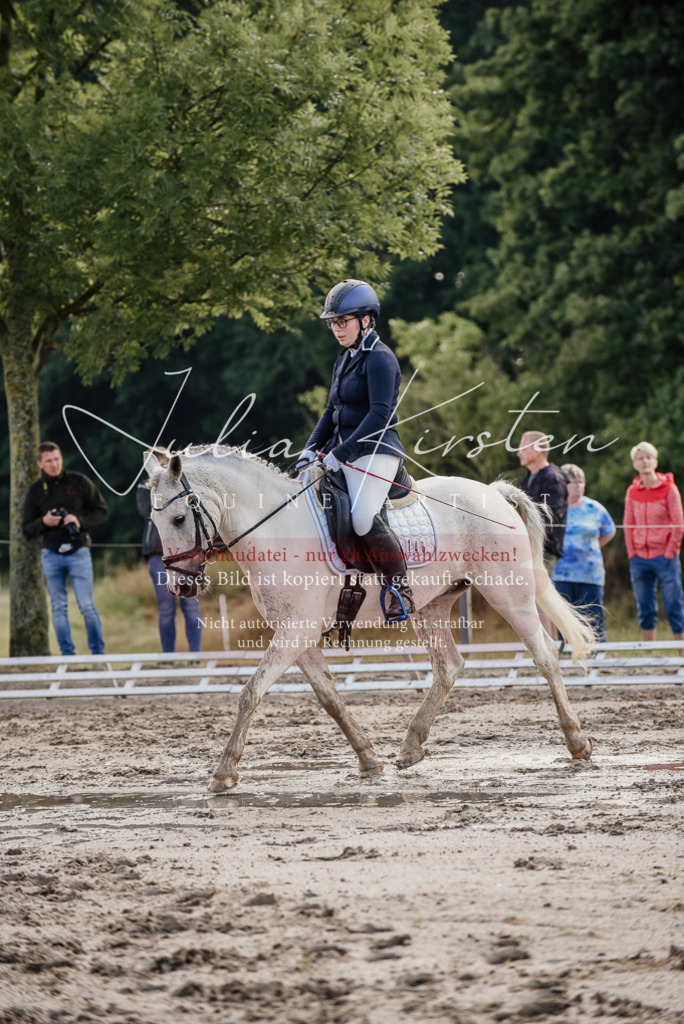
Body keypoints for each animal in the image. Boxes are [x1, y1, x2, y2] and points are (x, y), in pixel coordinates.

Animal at [147, 446, 595, 792]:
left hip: (509, 592)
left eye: (179, 518)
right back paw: (411, 746)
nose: (180, 587)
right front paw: (367, 759)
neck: (275, 528)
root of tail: (494, 492)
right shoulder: (298, 633)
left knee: (545, 656)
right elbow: (329, 697)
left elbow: (250, 693)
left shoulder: (295, 630)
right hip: (431, 605)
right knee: (449, 666)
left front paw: (223, 773)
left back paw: (576, 742)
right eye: (154, 521)